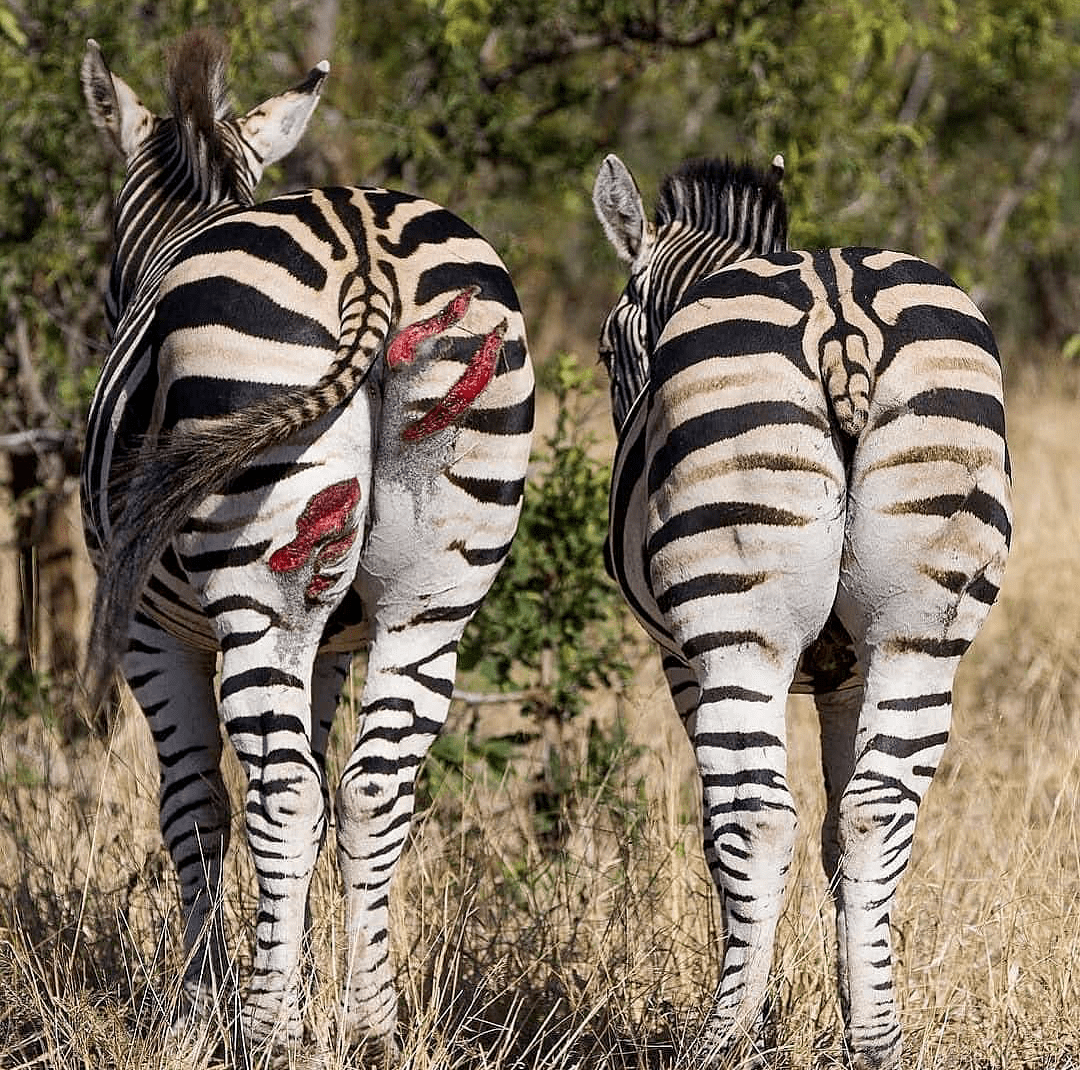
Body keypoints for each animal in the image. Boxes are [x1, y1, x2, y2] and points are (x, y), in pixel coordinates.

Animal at [78, 29, 533, 1058]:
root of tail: (366, 249)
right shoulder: (335, 642)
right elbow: (326, 794)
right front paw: (298, 976)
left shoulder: (150, 635)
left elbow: (196, 809)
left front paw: (201, 1004)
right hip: (434, 592)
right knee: (371, 790)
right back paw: (370, 1022)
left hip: (260, 584)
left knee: (281, 793)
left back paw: (265, 1031)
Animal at [596, 152, 1006, 1070]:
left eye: (607, 349)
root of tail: (839, 313)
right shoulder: (847, 673)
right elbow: (837, 832)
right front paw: (850, 1006)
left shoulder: (683, 663)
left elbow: (722, 833)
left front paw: (765, 1018)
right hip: (921, 628)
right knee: (877, 810)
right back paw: (880, 1042)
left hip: (735, 629)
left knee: (756, 818)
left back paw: (721, 1039)